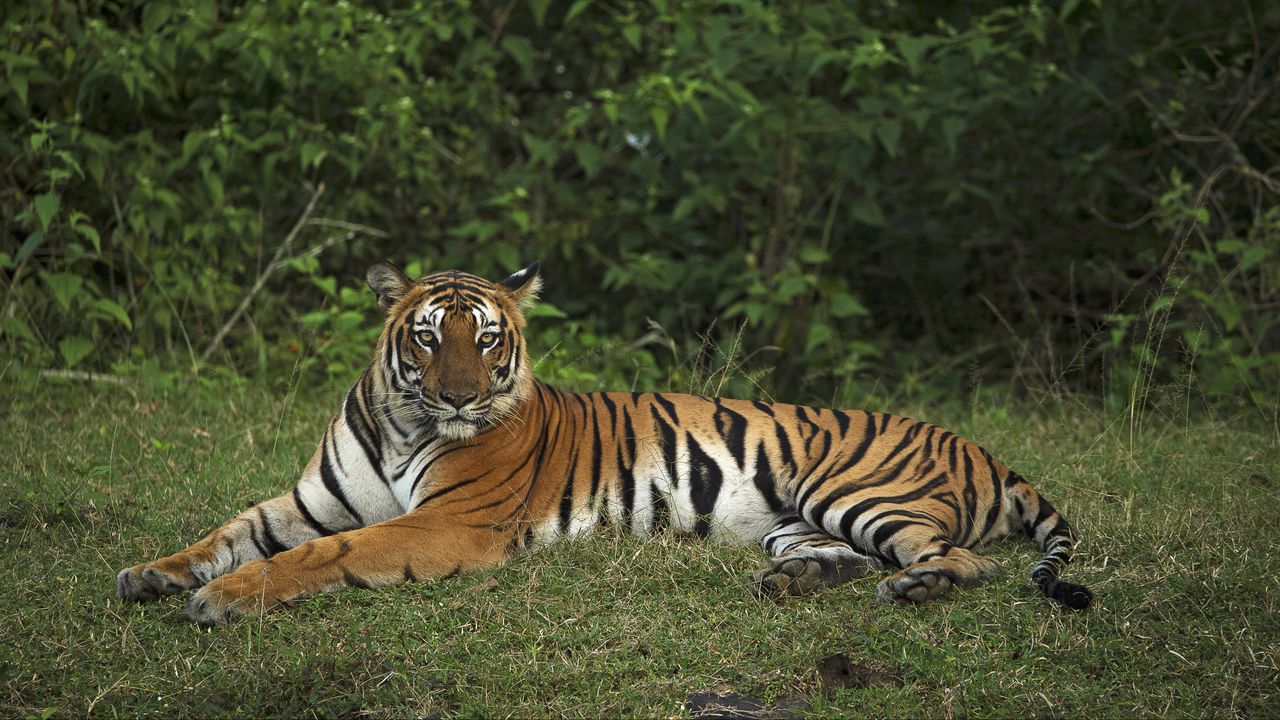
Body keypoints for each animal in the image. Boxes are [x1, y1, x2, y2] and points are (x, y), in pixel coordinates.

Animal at [116, 260, 1093, 625]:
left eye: (489, 339)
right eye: (428, 338)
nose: (461, 396)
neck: (405, 419)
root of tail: (987, 451)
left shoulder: (449, 525)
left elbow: (327, 555)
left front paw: (221, 599)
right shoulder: (308, 500)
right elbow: (228, 532)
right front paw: (151, 575)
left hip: (858, 491)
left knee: (971, 560)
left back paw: (918, 585)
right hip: (796, 519)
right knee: (842, 558)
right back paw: (791, 583)